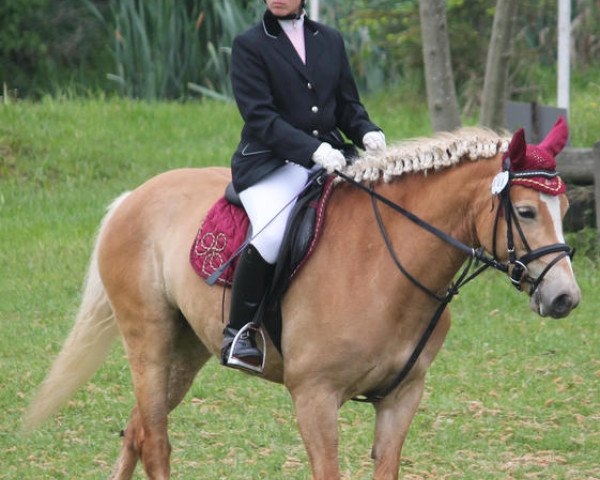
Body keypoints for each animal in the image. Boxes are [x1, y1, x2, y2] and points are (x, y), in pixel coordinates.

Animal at [25, 124, 580, 480]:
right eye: (526, 211)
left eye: (567, 207)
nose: (565, 298)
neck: (386, 265)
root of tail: (135, 196)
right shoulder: (315, 398)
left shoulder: (402, 398)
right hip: (149, 339)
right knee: (155, 440)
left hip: (185, 351)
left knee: (138, 429)